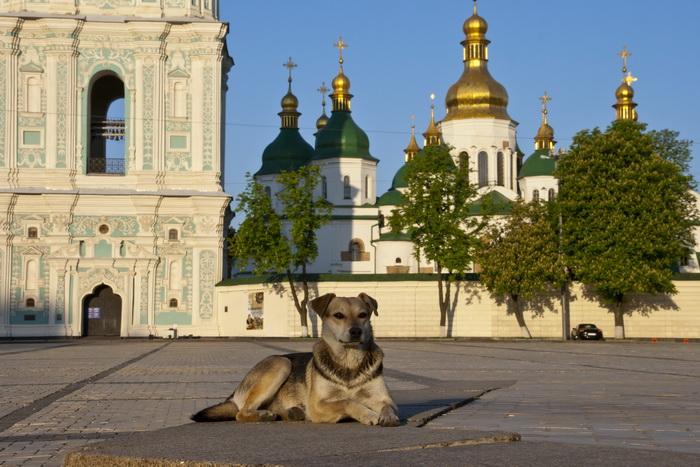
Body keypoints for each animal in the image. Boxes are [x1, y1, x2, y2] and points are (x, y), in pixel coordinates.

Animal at [191, 292, 400, 428]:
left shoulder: (383, 398)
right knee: (240, 413)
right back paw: (266, 415)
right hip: (281, 364)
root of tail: (235, 392)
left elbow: (388, 406)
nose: (356, 331)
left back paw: (290, 413)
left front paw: (388, 416)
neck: (349, 362)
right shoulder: (317, 405)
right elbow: (347, 402)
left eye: (363, 315)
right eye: (338, 315)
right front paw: (368, 414)